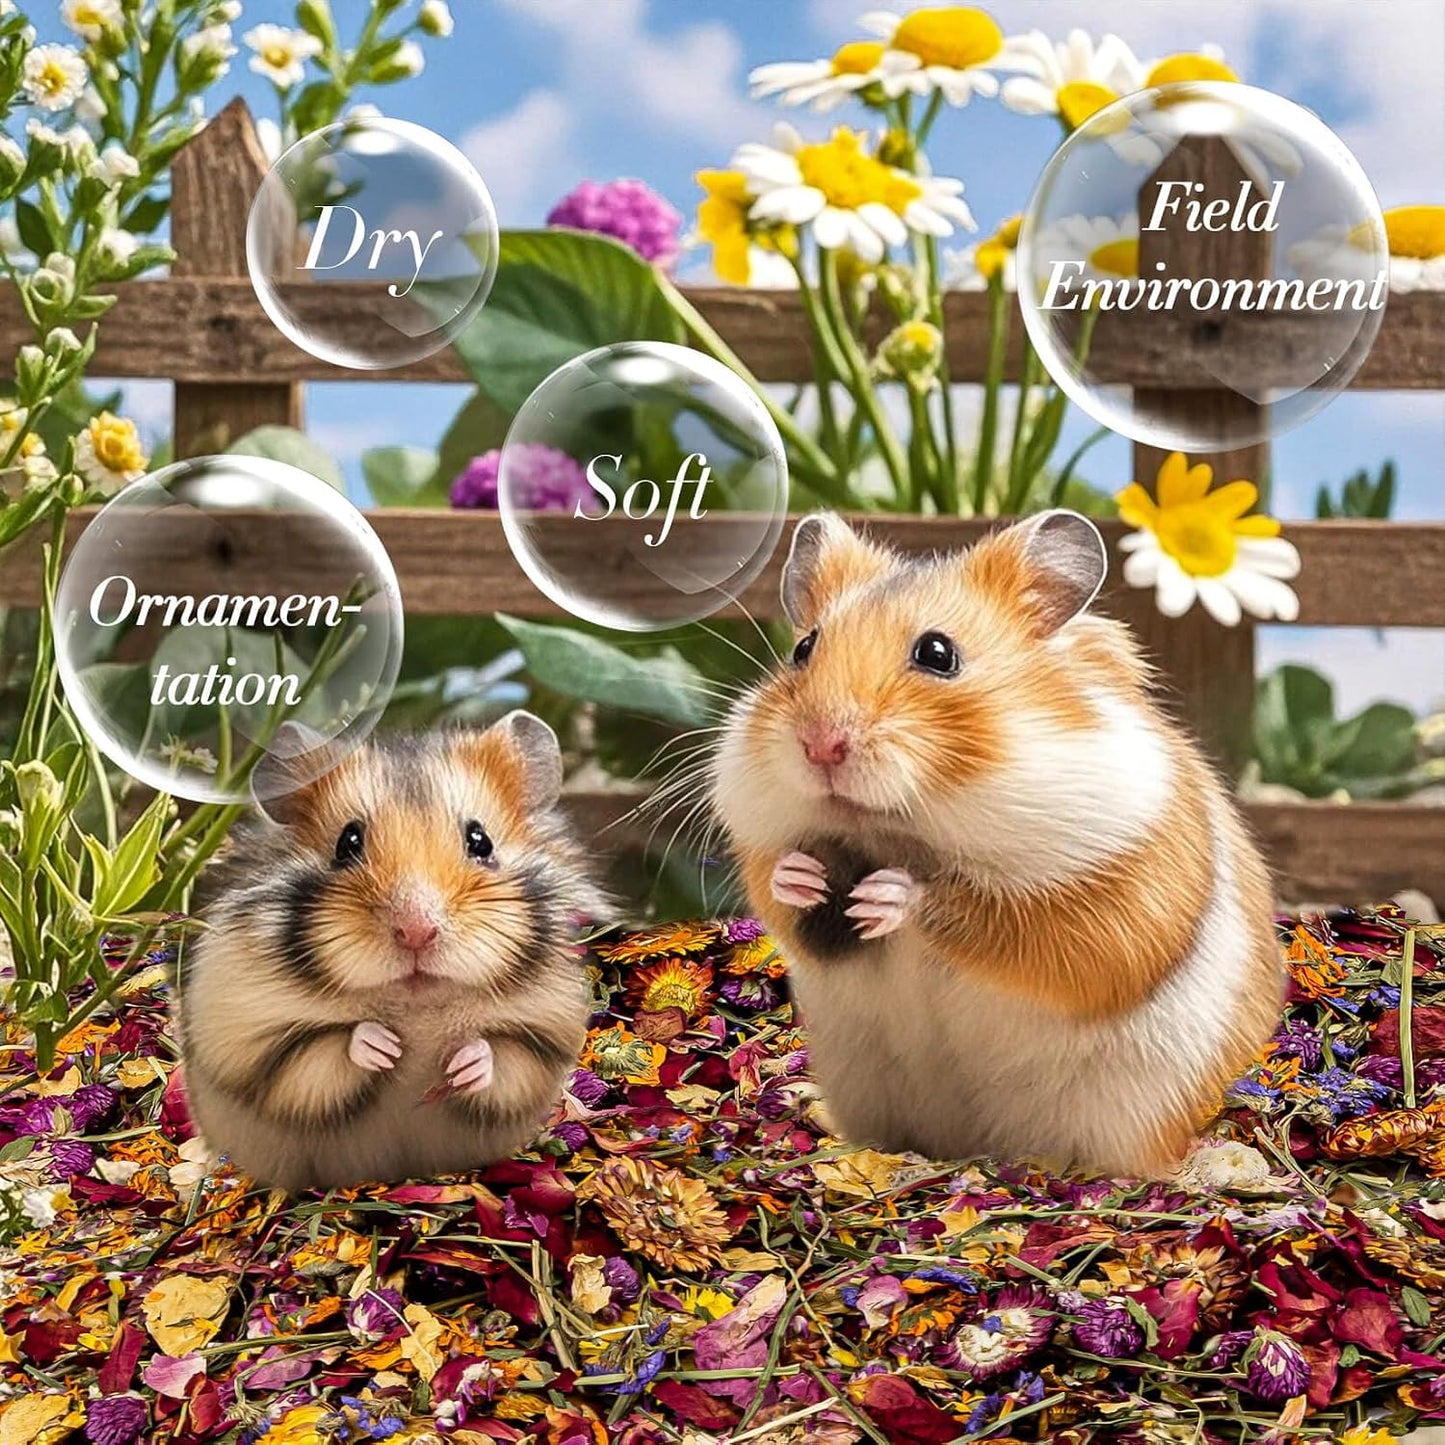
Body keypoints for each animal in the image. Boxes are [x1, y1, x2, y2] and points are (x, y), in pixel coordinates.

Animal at [178, 712, 604, 1191]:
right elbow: (324, 1048)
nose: (416, 931)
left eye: (481, 841)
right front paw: (383, 1047)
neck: (415, 1008)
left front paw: (463, 1064)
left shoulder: (543, 1035)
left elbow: (503, 1055)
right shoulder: (254, 1042)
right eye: (347, 842)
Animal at [712, 510, 1282, 1178]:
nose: (819, 745)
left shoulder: (1105, 906)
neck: (900, 829)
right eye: (803, 649)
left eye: (938, 653)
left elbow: (985, 916)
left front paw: (888, 895)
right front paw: (802, 875)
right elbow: (786, 899)